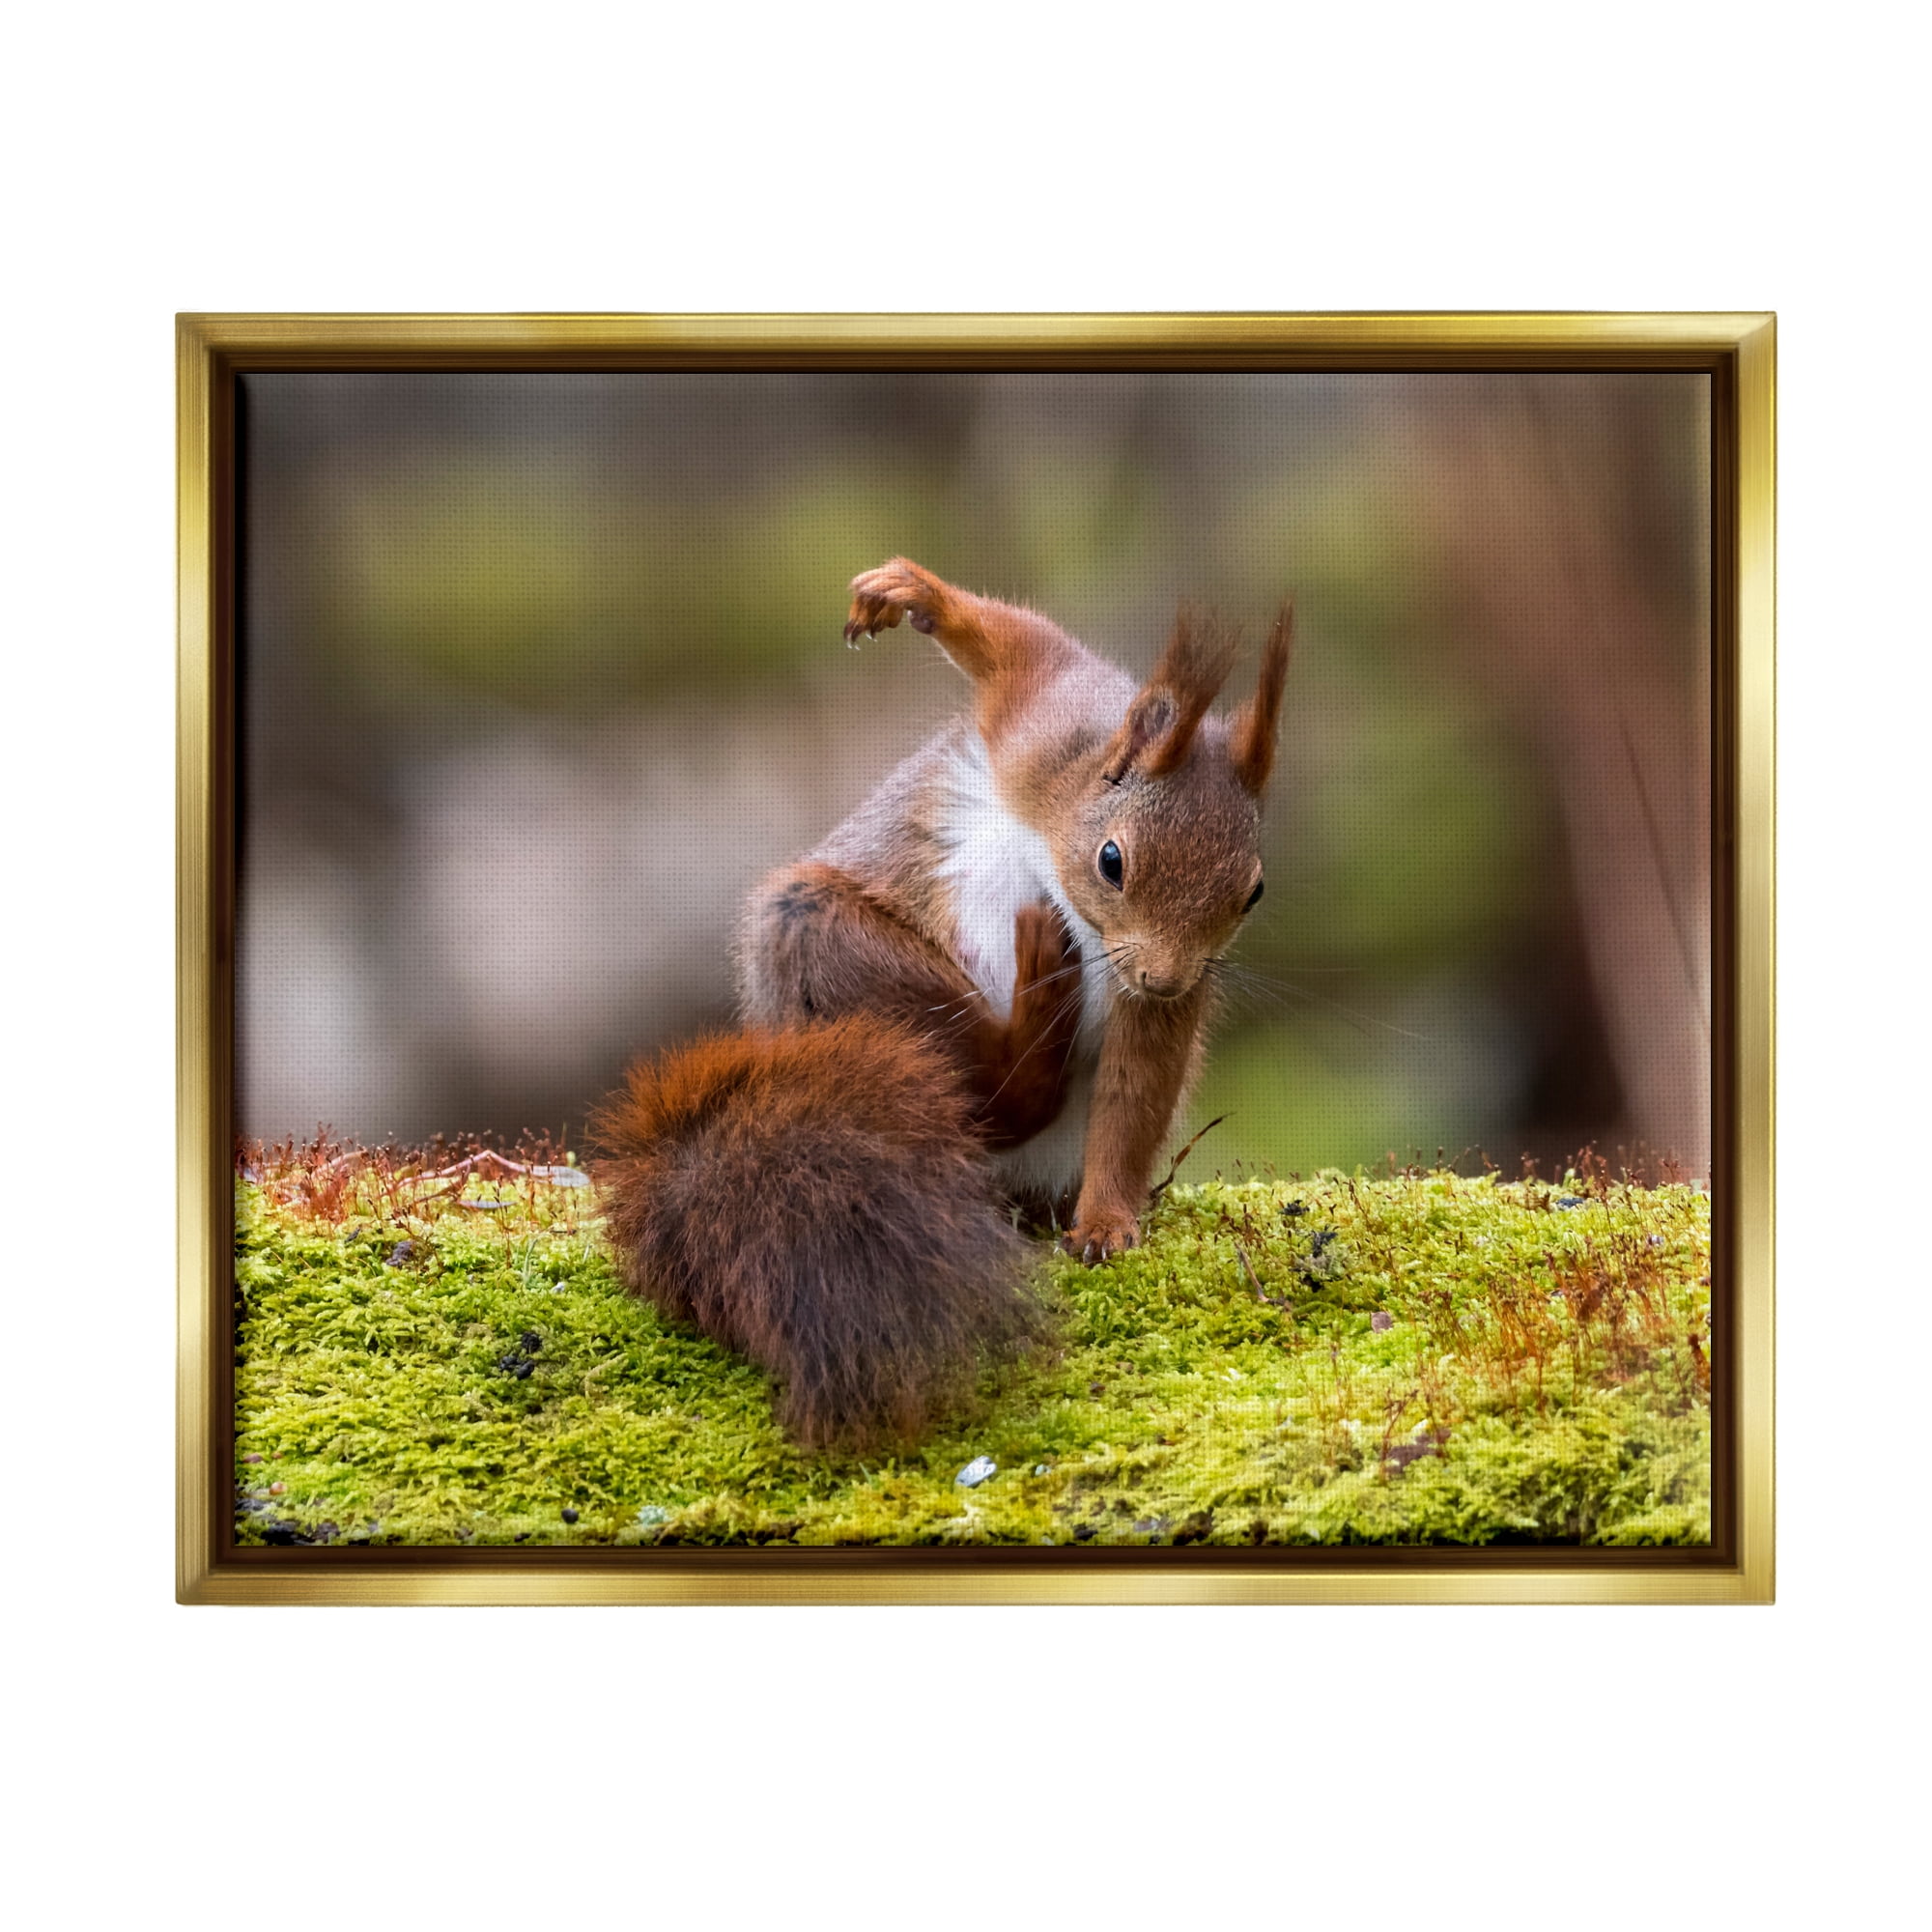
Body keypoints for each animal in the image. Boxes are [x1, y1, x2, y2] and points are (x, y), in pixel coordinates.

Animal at [592, 557, 1292, 1451]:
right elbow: (1016, 642)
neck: (1060, 837)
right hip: (822, 939)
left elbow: (1134, 1097)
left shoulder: (1156, 1000)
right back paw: (1035, 1009)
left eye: (1253, 892)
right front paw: (910, 595)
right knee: (991, 1091)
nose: (1165, 979)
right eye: (1112, 861)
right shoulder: (1042, 718)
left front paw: (1105, 1223)